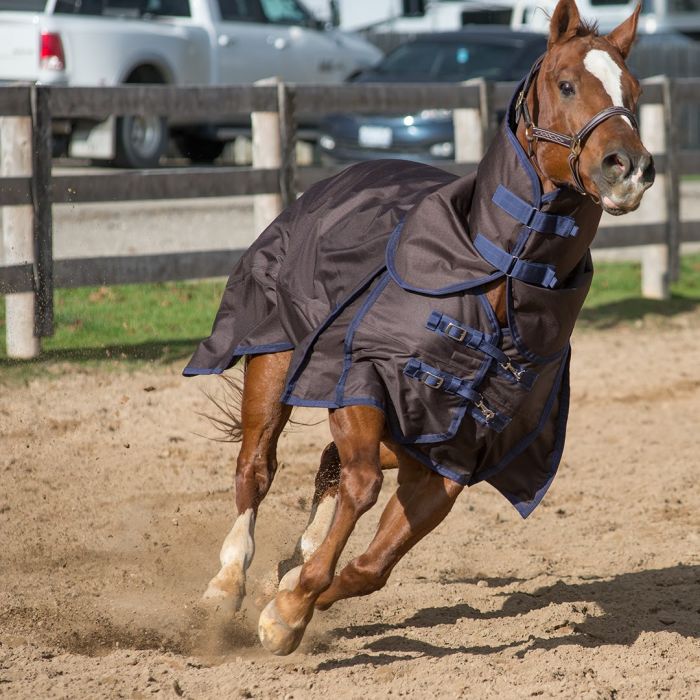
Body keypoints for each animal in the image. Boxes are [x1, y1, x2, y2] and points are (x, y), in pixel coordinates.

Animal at [183, 0, 652, 656]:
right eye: (566, 84)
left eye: (633, 92)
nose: (628, 168)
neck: (492, 278)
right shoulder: (359, 384)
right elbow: (357, 490)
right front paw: (288, 602)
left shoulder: (452, 459)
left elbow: (370, 568)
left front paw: (290, 604)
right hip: (273, 361)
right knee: (258, 466)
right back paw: (226, 584)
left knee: (327, 467)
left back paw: (292, 563)